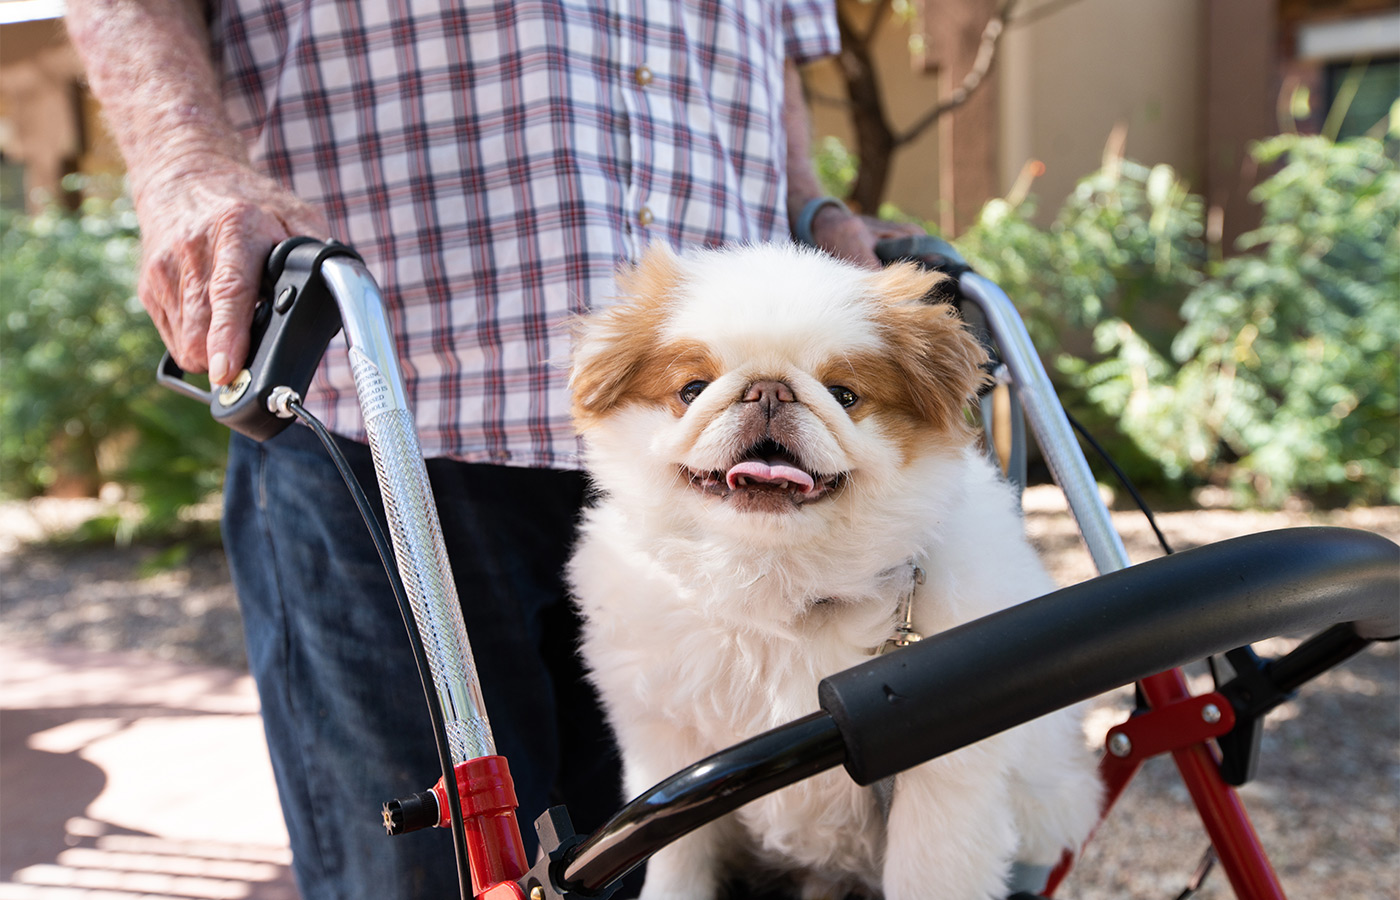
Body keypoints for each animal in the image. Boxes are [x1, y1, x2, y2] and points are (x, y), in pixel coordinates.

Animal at [562, 243, 1097, 900]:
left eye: (844, 395)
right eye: (692, 388)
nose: (768, 390)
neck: (779, 591)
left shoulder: (942, 783)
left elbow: (927, 875)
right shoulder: (663, 752)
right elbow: (675, 866)